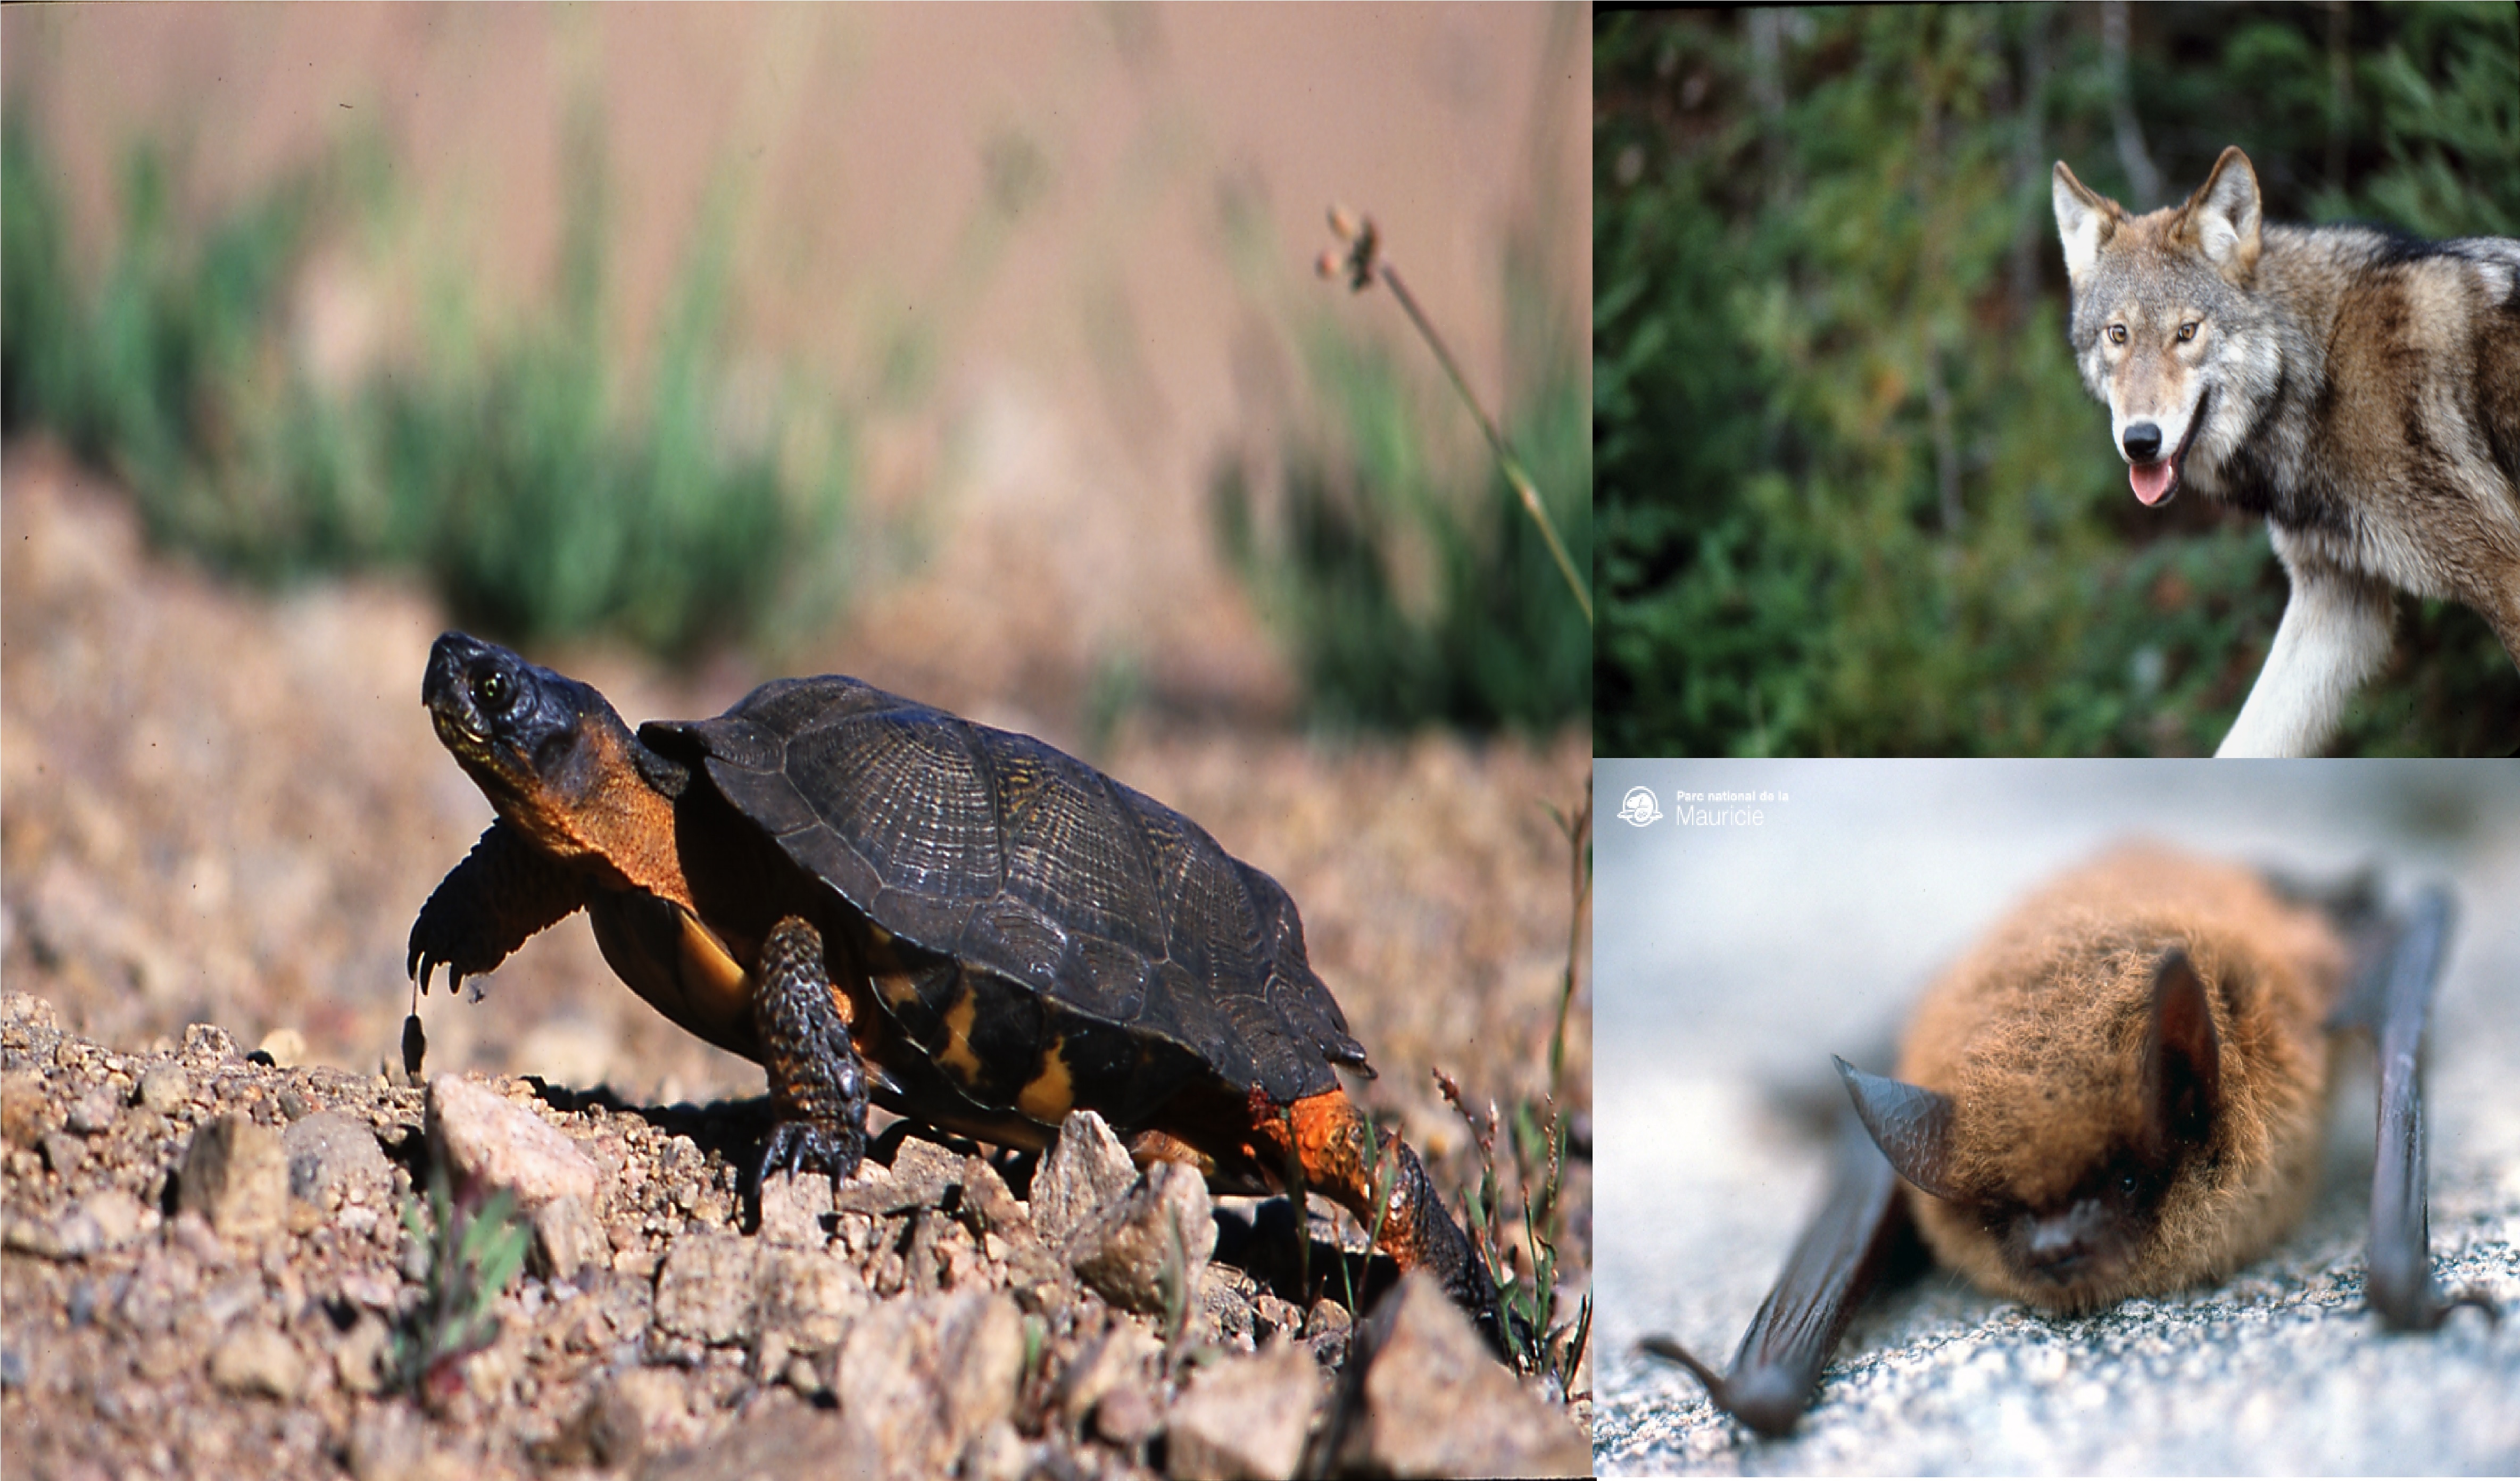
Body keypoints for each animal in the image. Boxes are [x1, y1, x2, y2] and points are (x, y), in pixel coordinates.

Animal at [2053, 146, 2520, 756]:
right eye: (2117, 334)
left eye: (2186, 332)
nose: (2140, 441)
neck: (2321, 376)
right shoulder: (2338, 606)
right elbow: (2244, 744)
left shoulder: (2505, 575)